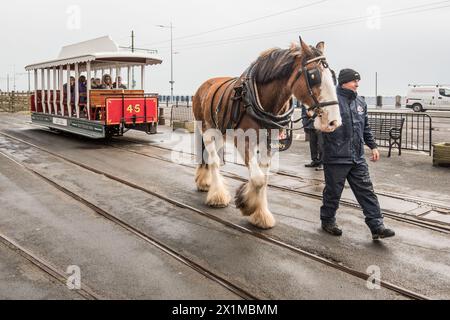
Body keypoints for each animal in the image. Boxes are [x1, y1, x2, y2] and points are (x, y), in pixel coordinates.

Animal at [192, 38, 342, 230]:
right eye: (313, 76)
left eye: (332, 75)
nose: (334, 121)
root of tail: (205, 85)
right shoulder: (244, 141)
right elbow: (258, 179)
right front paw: (247, 204)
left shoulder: (270, 143)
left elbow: (264, 178)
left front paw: (260, 214)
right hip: (207, 131)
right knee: (214, 161)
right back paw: (217, 196)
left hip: (220, 133)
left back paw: (207, 184)